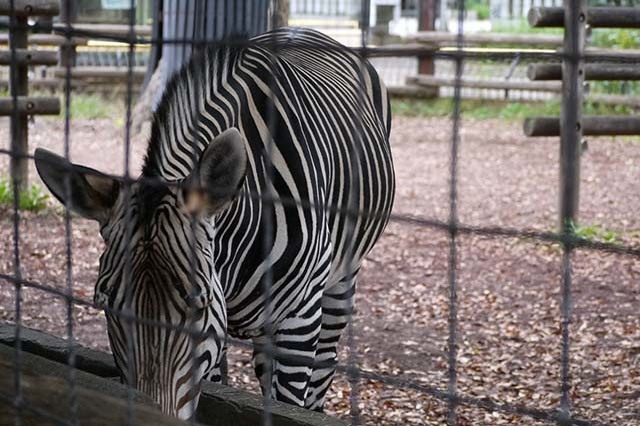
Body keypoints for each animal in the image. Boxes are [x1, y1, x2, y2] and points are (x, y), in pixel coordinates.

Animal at [36, 27, 396, 420]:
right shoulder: (216, 334)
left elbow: (284, 407)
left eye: (199, 304)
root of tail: (305, 31)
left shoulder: (297, 323)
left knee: (323, 367)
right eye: (108, 303)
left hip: (339, 282)